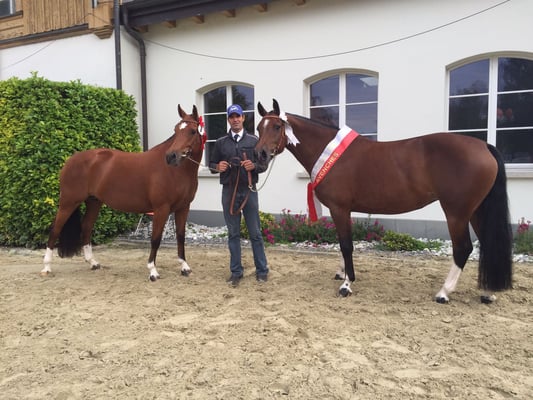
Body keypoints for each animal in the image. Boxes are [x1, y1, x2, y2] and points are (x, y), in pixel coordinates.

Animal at [42, 104, 204, 281]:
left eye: (192, 131)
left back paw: (93, 263)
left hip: (93, 202)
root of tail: (70, 161)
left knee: (86, 227)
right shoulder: (161, 209)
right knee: (55, 229)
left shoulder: (183, 208)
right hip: (68, 202)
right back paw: (46, 267)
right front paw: (153, 271)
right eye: (175, 130)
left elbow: (181, 237)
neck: (176, 172)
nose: (171, 156)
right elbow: (155, 239)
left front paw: (184, 267)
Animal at [255, 99, 513, 303]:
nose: (260, 155)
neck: (329, 152)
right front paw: (342, 273)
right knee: (486, 244)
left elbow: (346, 245)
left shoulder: (340, 208)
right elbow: (342, 242)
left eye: (277, 126)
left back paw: (444, 292)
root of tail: (484, 146)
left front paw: (347, 284)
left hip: (457, 213)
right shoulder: (343, 210)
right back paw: (487, 292)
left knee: (463, 248)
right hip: (476, 211)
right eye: (258, 127)